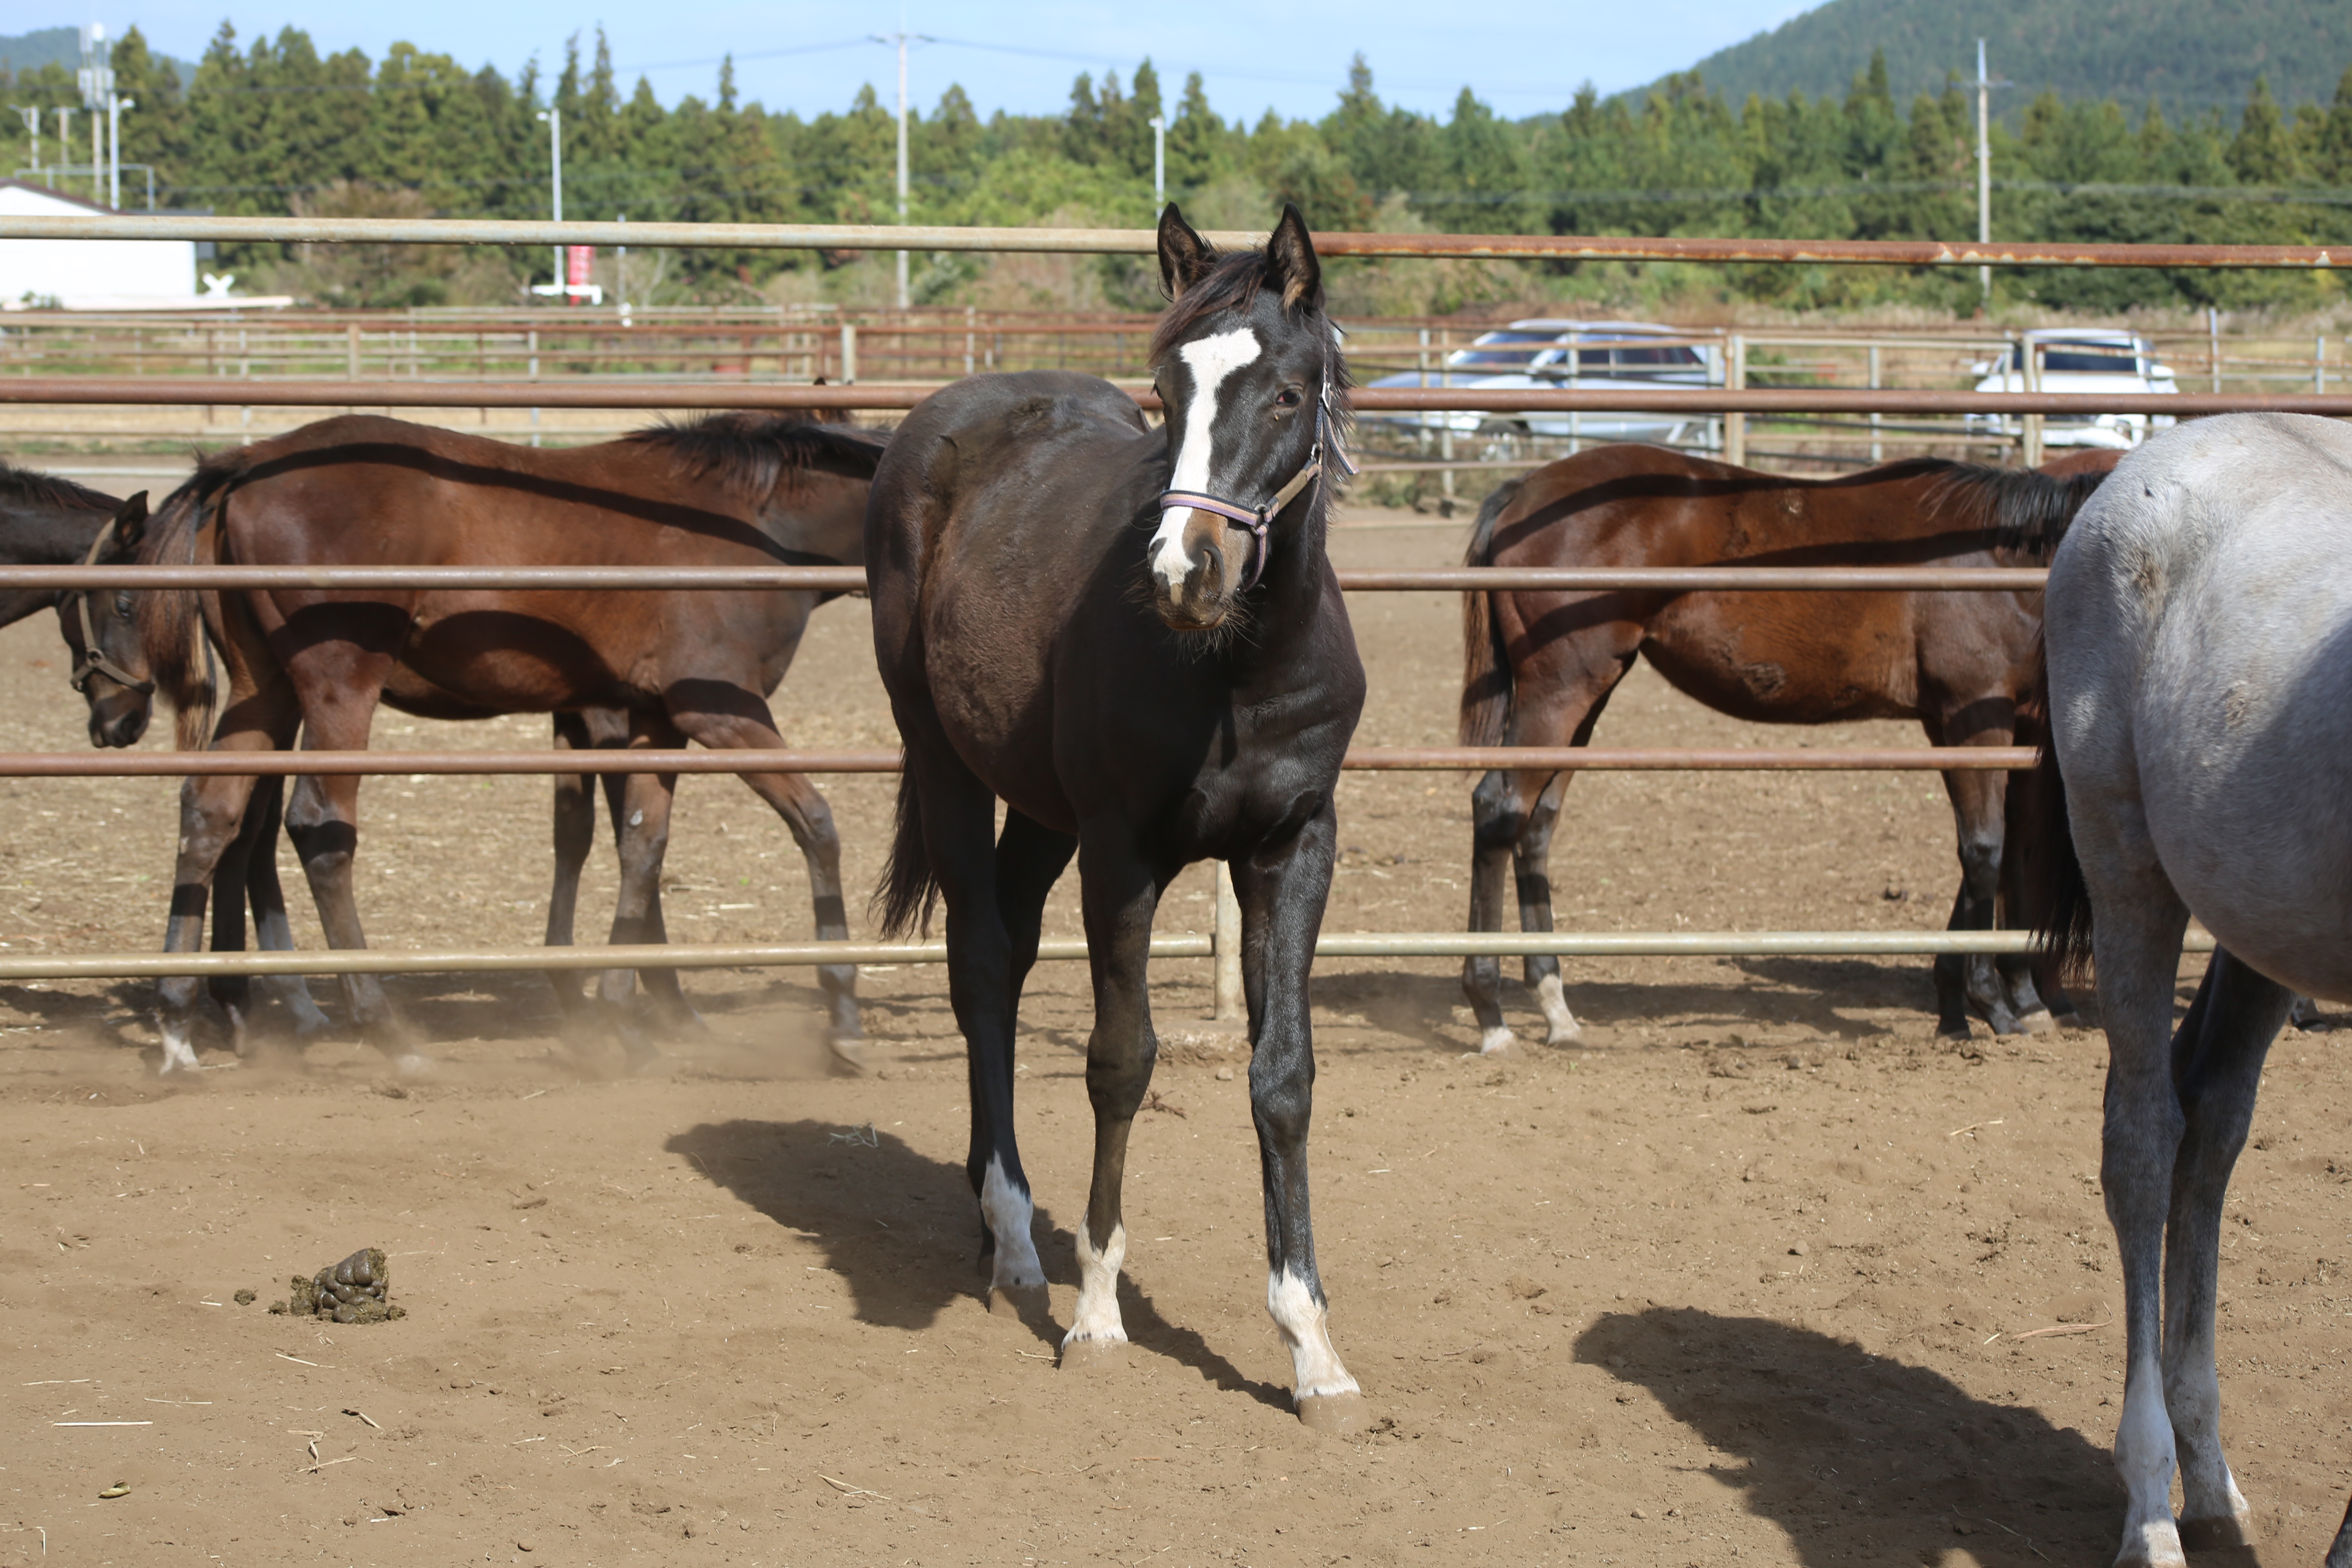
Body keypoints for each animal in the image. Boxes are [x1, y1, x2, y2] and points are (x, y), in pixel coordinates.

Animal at [140, 414, 889, 1081]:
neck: (755, 523)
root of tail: (246, 464)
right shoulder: (719, 713)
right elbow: (816, 826)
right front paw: (842, 1017)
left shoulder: (655, 717)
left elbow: (641, 846)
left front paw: (625, 1020)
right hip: (338, 686)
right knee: (318, 827)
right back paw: (387, 1033)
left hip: (262, 687)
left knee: (213, 812)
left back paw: (180, 1024)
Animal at [875, 202, 1373, 1429]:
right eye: (1167, 389)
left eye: (1284, 393)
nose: (1186, 570)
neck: (1235, 671)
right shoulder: (1122, 853)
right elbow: (1120, 1058)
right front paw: (1098, 1310)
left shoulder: (1295, 847)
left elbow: (1282, 1078)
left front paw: (1312, 1347)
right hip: (948, 766)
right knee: (979, 964)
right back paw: (1013, 1238)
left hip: (1038, 807)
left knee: (1005, 959)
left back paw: (990, 1213)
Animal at [1449, 442, 2117, 1053]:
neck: (2000, 556)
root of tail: (1525, 493)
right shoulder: (1971, 720)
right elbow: (1984, 852)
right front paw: (1992, 1005)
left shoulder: (2002, 728)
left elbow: (2002, 852)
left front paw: (1980, 1003)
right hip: (1559, 693)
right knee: (1499, 811)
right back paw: (1491, 1013)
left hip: (1587, 698)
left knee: (1537, 826)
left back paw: (1555, 1007)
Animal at [2032, 411, 2352, 1561]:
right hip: (2128, 866)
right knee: (2141, 1140)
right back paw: (2152, 1502)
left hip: (2258, 927)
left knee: (2208, 1130)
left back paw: (2207, 1471)